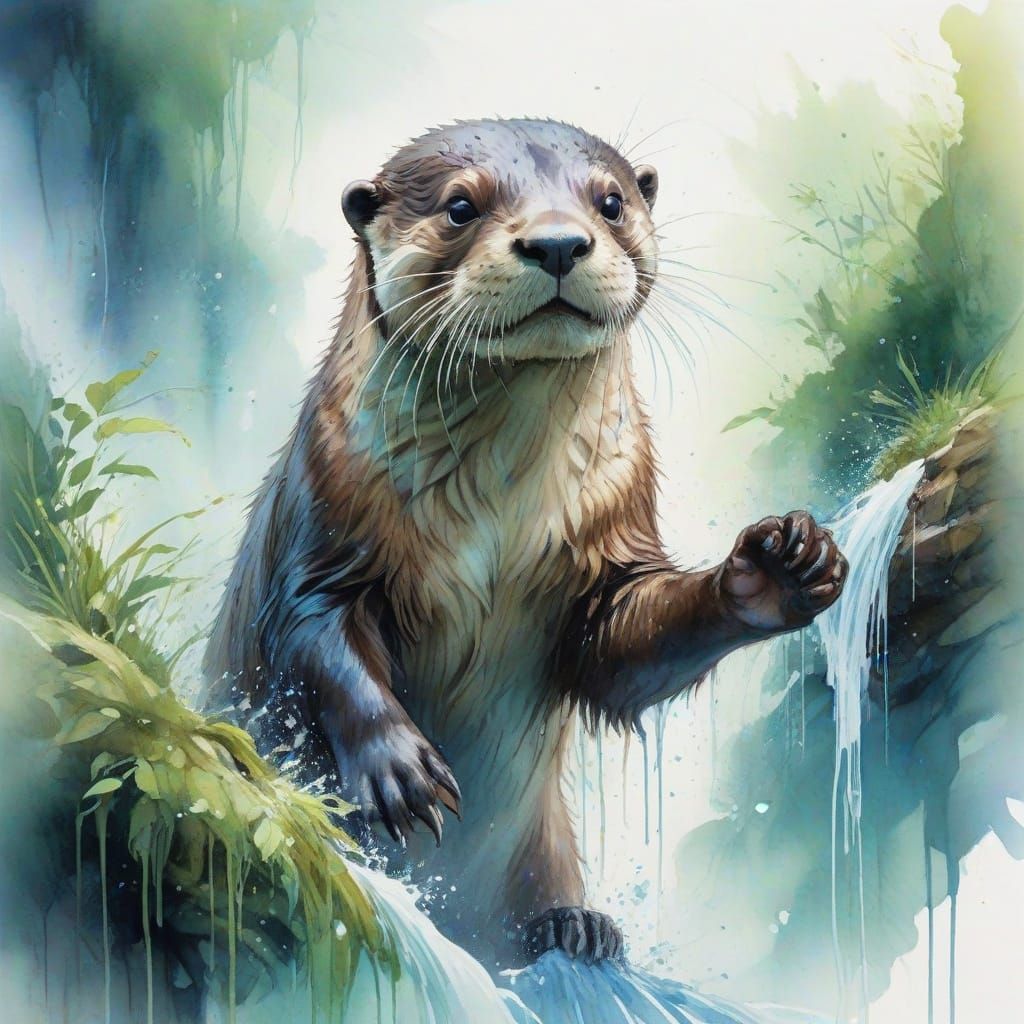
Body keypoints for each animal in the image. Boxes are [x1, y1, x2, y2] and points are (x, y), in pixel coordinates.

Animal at [203, 118, 847, 969]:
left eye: (610, 202)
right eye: (459, 206)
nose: (557, 243)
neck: (500, 515)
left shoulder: (613, 533)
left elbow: (623, 648)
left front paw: (774, 571)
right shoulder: (322, 526)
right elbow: (316, 641)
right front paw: (399, 770)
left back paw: (571, 925)